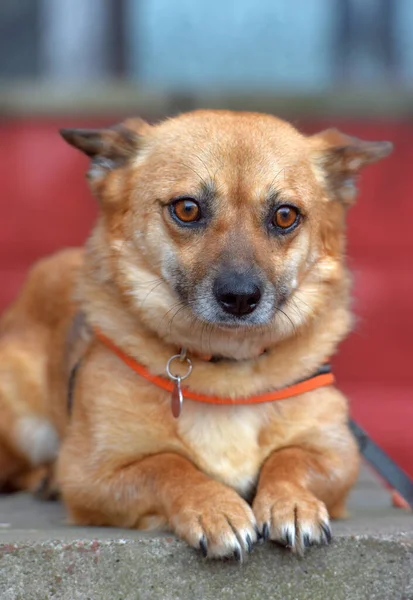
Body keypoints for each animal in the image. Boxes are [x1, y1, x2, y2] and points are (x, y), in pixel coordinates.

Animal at [0, 111, 392, 556]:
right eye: (187, 209)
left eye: (285, 215)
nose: (240, 297)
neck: (227, 372)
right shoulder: (89, 476)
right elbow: (168, 464)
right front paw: (214, 507)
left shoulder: (338, 454)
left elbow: (290, 457)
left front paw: (291, 502)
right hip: (22, 425)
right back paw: (44, 480)